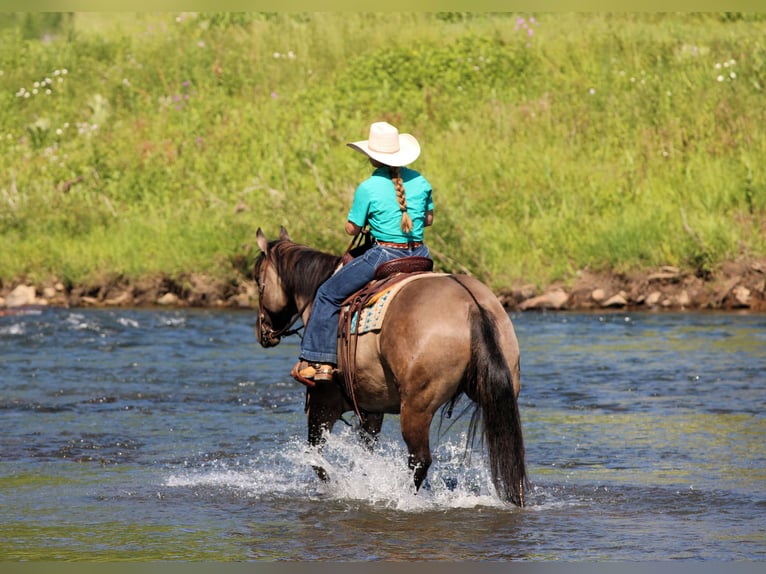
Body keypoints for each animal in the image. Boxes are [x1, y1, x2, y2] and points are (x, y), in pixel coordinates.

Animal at [254, 226, 528, 506]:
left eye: (258, 281)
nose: (262, 332)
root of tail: (471, 304)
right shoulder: (371, 408)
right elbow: (365, 455)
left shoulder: (323, 400)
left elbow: (315, 457)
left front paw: (337, 488)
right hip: (498, 394)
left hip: (417, 407)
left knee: (419, 460)